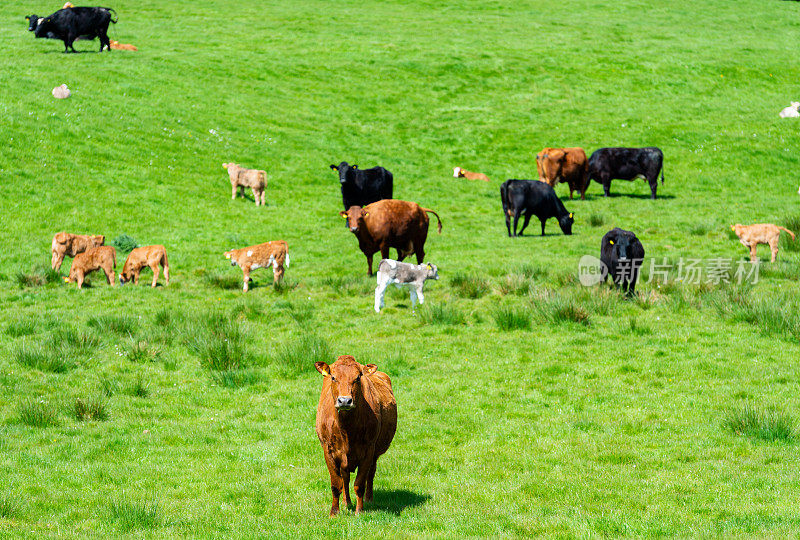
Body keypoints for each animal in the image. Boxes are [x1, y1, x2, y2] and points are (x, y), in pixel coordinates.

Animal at [316, 354, 396, 516]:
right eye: (333, 377)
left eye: (358, 378)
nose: (345, 401)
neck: (346, 429)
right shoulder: (328, 450)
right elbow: (336, 484)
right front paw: (334, 512)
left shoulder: (368, 450)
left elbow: (359, 484)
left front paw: (359, 511)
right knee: (345, 478)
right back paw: (346, 502)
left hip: (375, 453)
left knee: (371, 473)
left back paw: (369, 499)